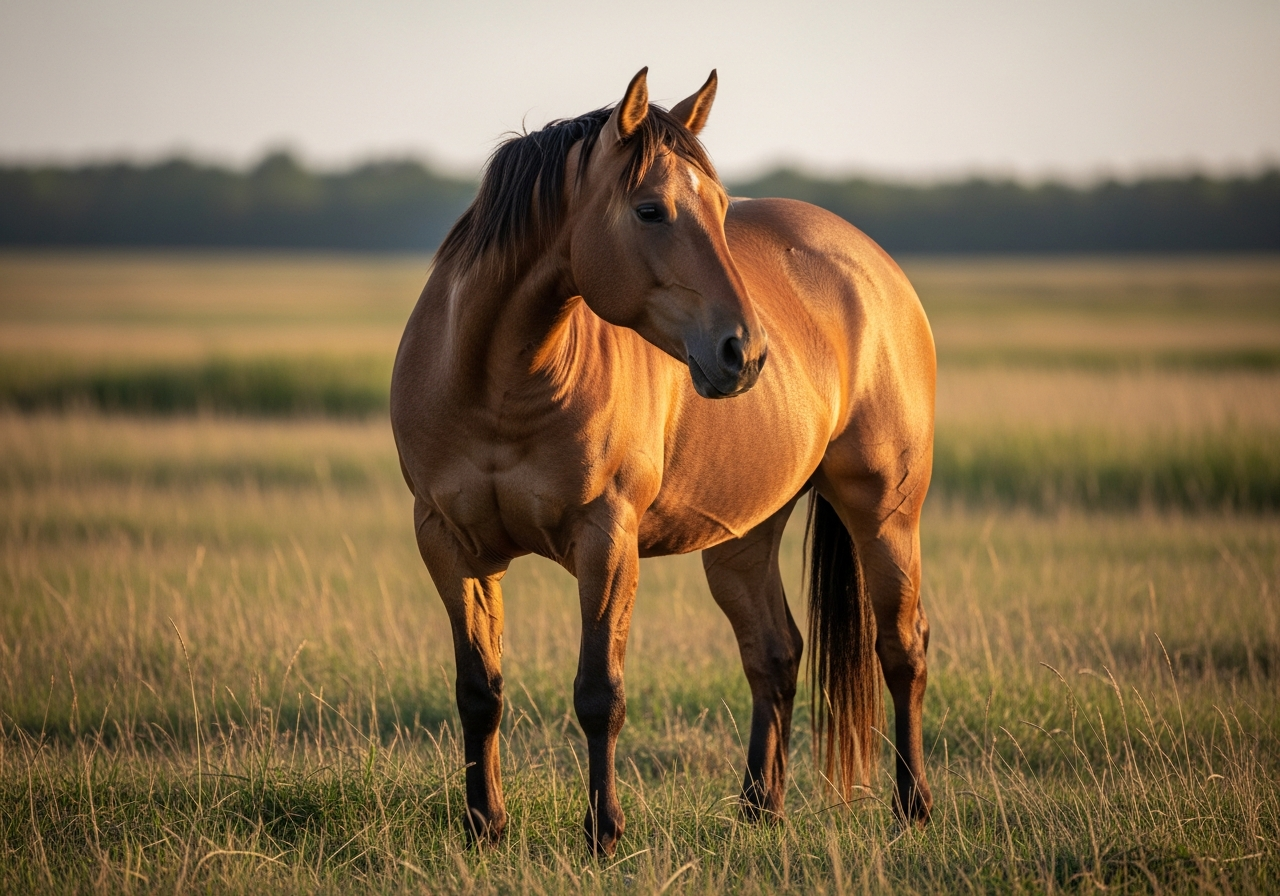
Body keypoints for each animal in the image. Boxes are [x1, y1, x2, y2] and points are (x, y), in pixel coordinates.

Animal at [390, 68, 936, 855]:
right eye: (651, 210)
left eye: (721, 208)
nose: (746, 352)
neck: (499, 384)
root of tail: (875, 267)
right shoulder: (448, 543)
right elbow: (479, 691)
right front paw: (483, 826)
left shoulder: (607, 541)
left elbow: (599, 693)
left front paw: (602, 833)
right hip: (745, 536)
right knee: (774, 653)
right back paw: (758, 809)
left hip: (885, 510)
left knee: (902, 649)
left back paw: (913, 806)